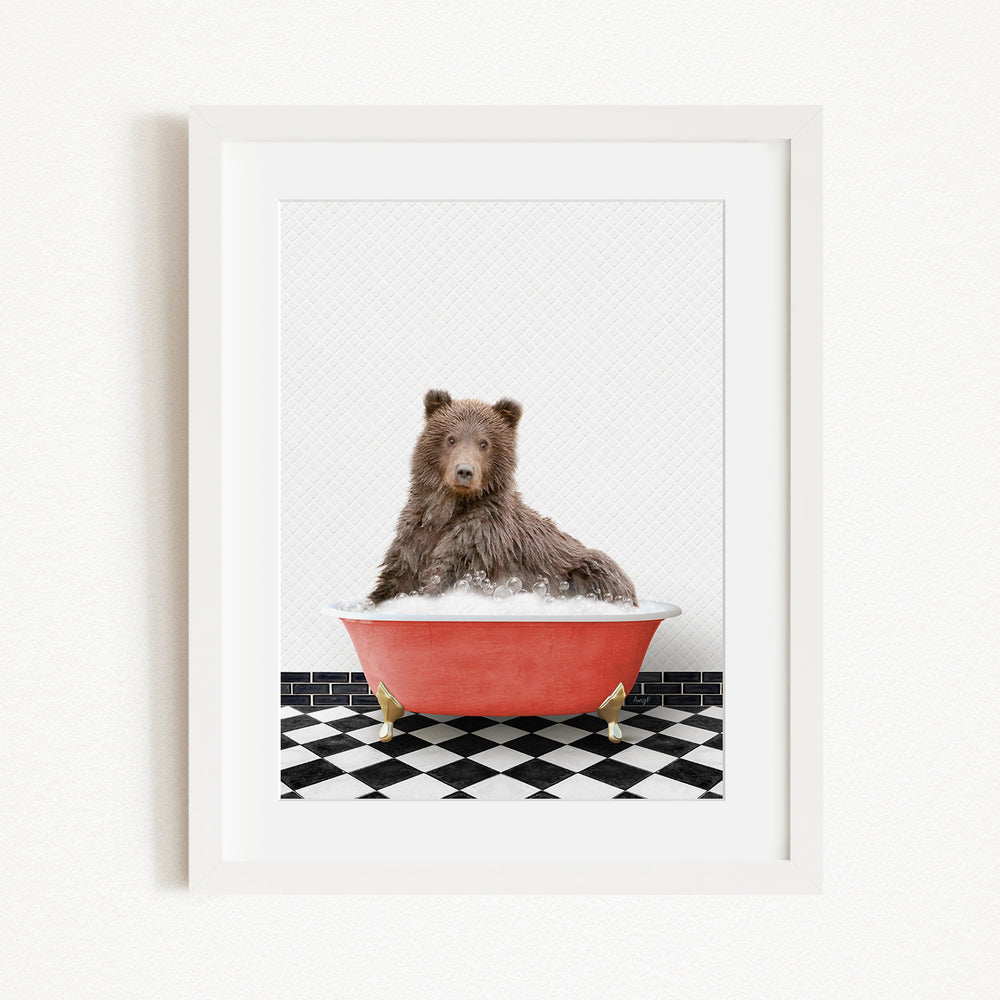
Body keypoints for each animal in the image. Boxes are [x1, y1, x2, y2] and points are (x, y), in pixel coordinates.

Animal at [368, 389, 637, 605]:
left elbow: (445, 576)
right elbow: (395, 580)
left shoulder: (480, 541)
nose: (464, 471)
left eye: (484, 443)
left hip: (585, 567)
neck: (450, 509)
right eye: (451, 438)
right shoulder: (415, 537)